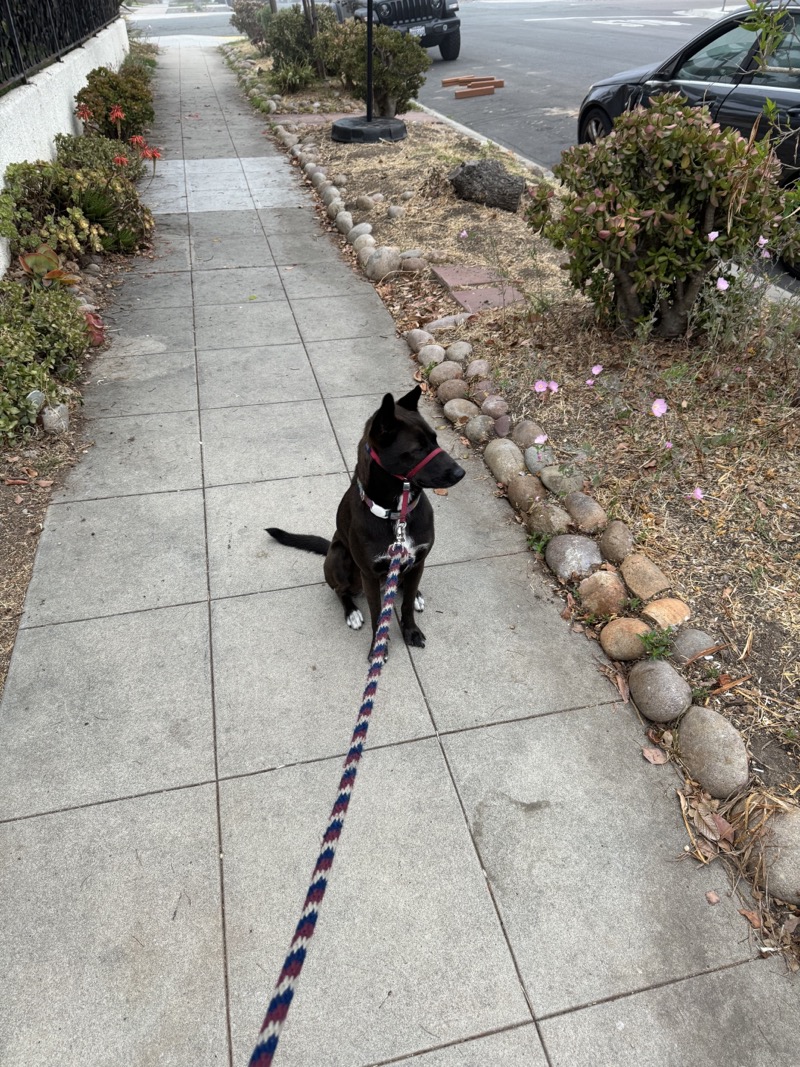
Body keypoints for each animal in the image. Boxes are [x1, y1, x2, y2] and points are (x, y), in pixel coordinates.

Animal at [266, 386, 467, 648]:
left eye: (435, 439)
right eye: (417, 450)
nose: (461, 472)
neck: (397, 514)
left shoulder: (419, 561)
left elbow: (405, 604)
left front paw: (411, 629)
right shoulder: (369, 574)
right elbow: (376, 613)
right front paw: (377, 646)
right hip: (338, 557)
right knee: (340, 590)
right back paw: (351, 611)